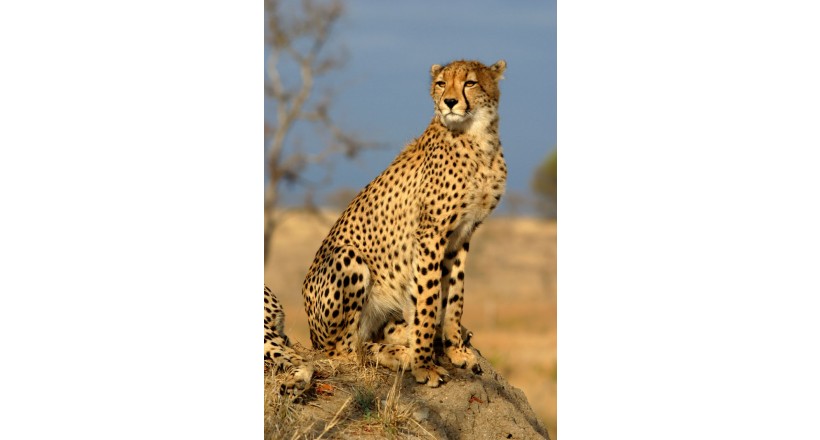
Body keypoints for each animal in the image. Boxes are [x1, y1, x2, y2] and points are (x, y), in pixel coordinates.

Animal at [266, 59, 507, 389]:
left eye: (470, 83)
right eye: (441, 83)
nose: (449, 102)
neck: (477, 137)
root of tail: (312, 333)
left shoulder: (462, 234)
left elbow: (454, 297)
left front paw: (456, 350)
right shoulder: (430, 234)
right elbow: (429, 299)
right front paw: (424, 365)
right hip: (347, 258)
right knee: (345, 351)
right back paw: (399, 353)